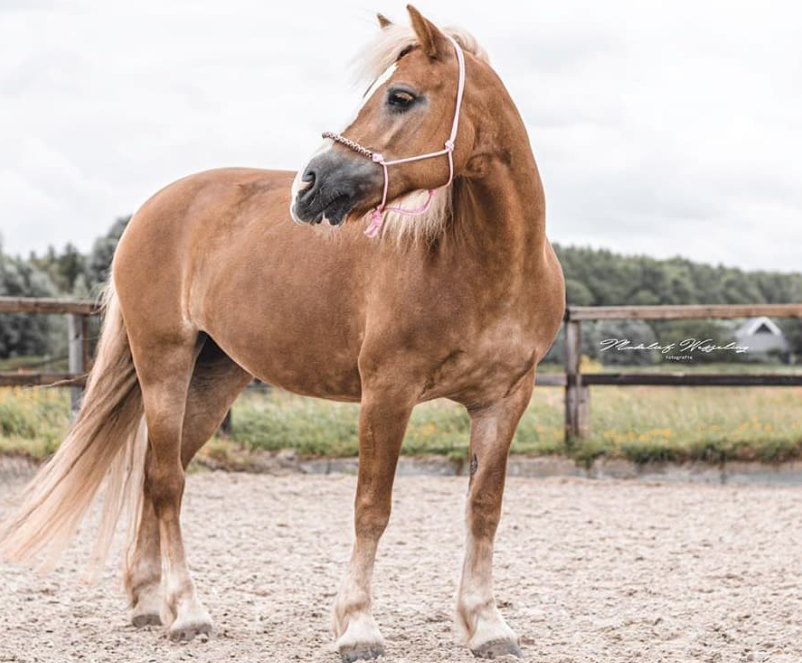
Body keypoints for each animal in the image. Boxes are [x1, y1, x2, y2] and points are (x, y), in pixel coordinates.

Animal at [0, 6, 564, 663]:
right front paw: (358, 626)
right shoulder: (387, 393)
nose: (310, 184)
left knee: (155, 476)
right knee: (167, 482)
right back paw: (188, 613)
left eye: (401, 97)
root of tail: (152, 209)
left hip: (215, 379)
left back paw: (147, 602)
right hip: (164, 364)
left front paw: (486, 624)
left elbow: (484, 509)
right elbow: (371, 508)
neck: (484, 265)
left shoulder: (506, 400)